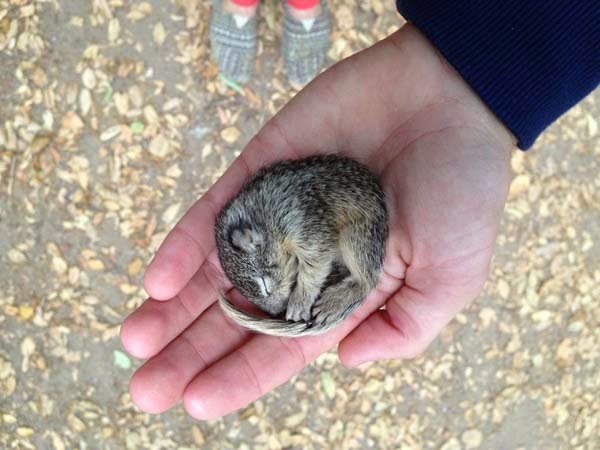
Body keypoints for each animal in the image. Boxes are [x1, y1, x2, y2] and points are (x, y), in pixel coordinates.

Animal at [216, 153, 390, 336]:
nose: (277, 312)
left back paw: (333, 303)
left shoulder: (305, 226)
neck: (264, 215)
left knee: (367, 281)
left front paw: (299, 303)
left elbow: (314, 266)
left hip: (357, 236)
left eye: (265, 286)